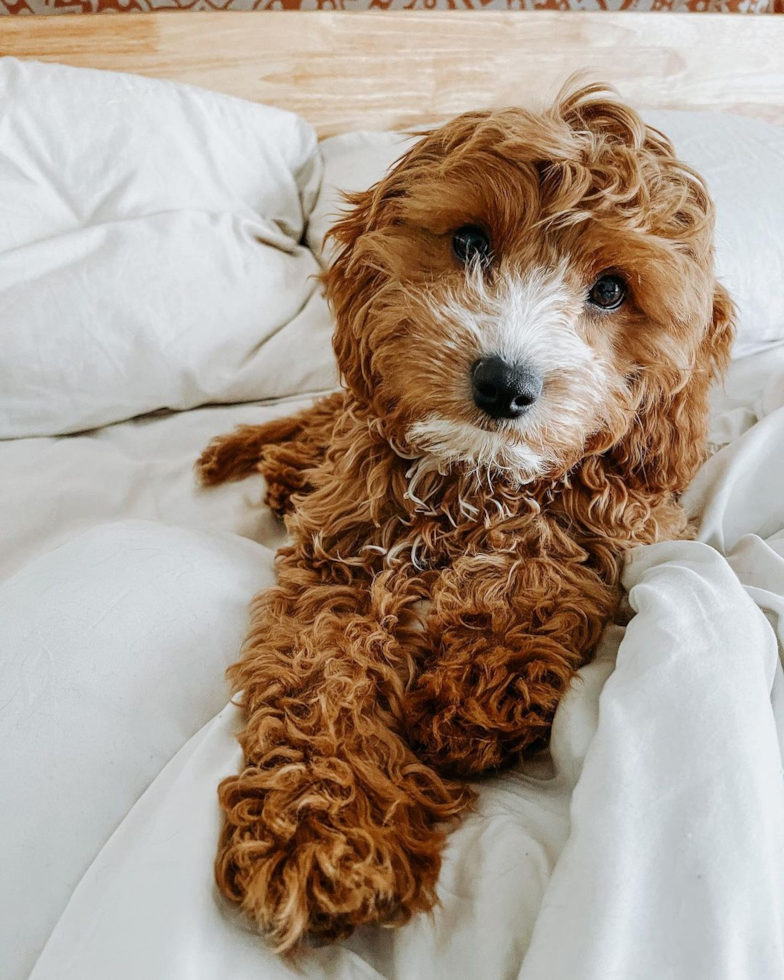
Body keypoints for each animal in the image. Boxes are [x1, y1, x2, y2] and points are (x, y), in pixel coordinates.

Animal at [198, 80, 736, 952]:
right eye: (471, 241)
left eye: (611, 290)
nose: (504, 385)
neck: (472, 480)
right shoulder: (334, 562)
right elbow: (317, 675)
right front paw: (324, 828)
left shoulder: (634, 518)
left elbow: (553, 568)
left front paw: (482, 680)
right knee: (319, 422)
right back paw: (274, 464)